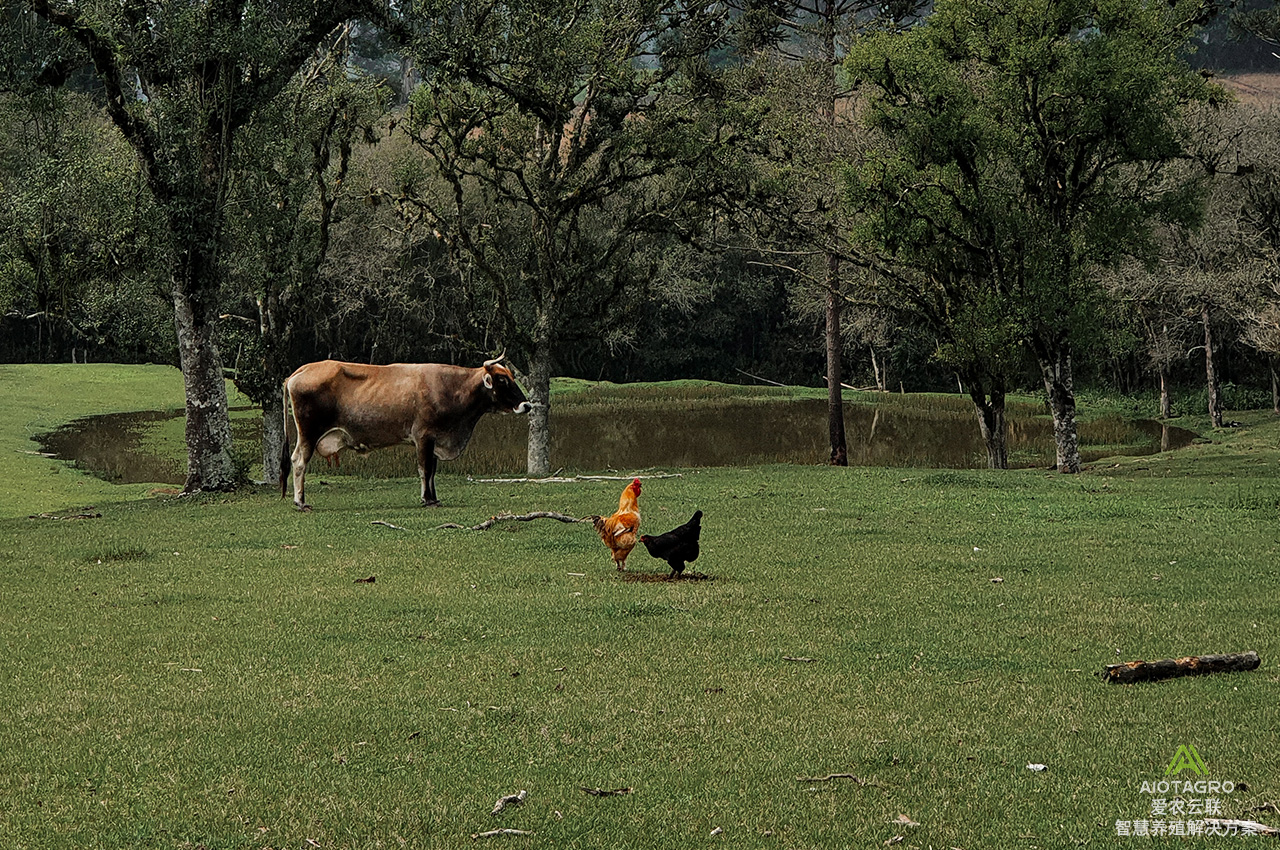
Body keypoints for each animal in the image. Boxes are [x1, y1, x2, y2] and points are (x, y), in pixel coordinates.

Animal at [281, 355, 529, 506]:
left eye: (511, 377)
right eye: (502, 380)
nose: (526, 405)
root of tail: (301, 370)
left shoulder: (435, 439)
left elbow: (432, 471)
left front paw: (434, 498)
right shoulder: (424, 436)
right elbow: (424, 469)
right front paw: (427, 499)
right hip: (308, 434)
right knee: (299, 462)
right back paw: (300, 501)